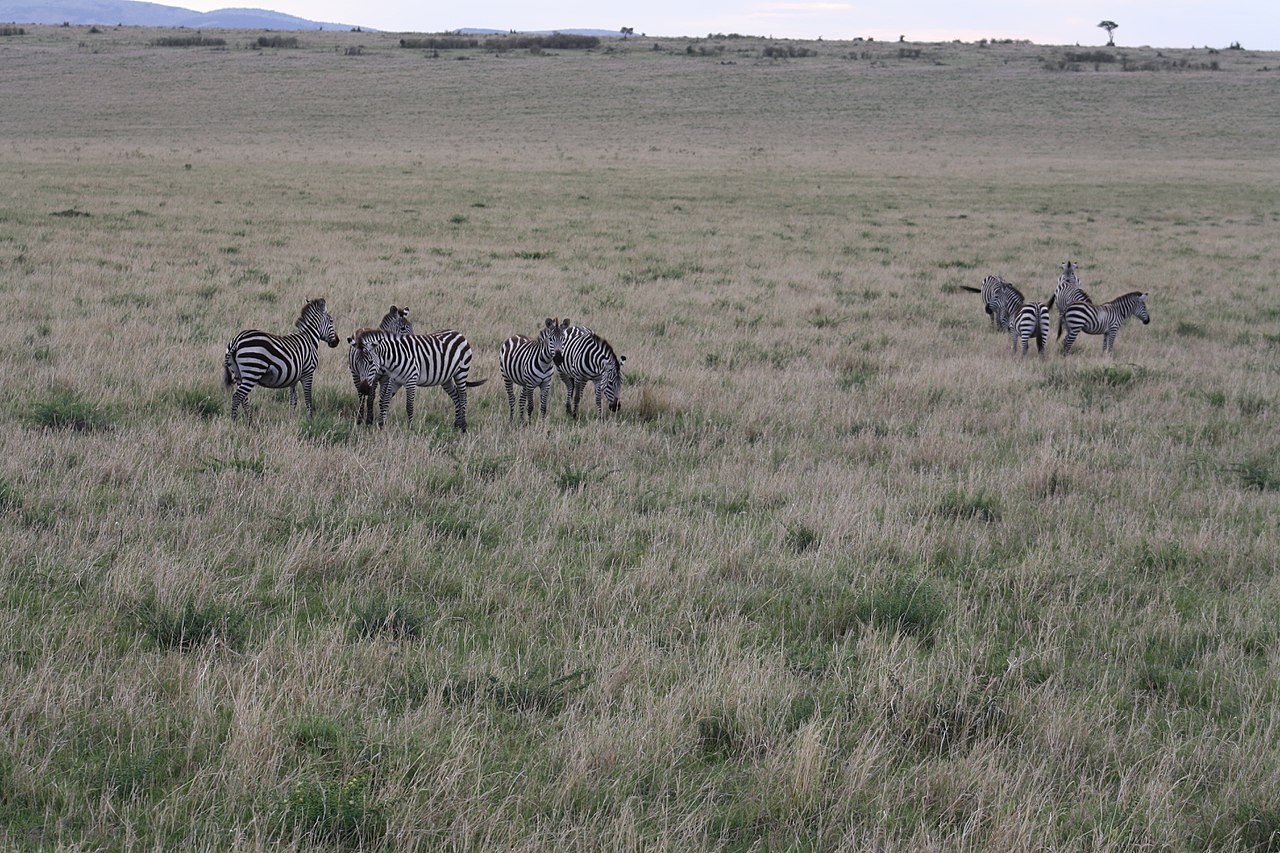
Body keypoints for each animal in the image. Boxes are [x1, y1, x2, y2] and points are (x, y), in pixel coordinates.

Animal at [348, 328, 488, 431]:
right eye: (357, 364)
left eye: (371, 362)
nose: (364, 389)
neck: (394, 358)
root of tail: (458, 333)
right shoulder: (395, 380)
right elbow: (385, 401)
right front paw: (382, 425)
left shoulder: (411, 380)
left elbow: (409, 405)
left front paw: (410, 428)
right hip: (446, 378)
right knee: (456, 396)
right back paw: (456, 424)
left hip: (461, 372)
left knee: (463, 396)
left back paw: (463, 426)